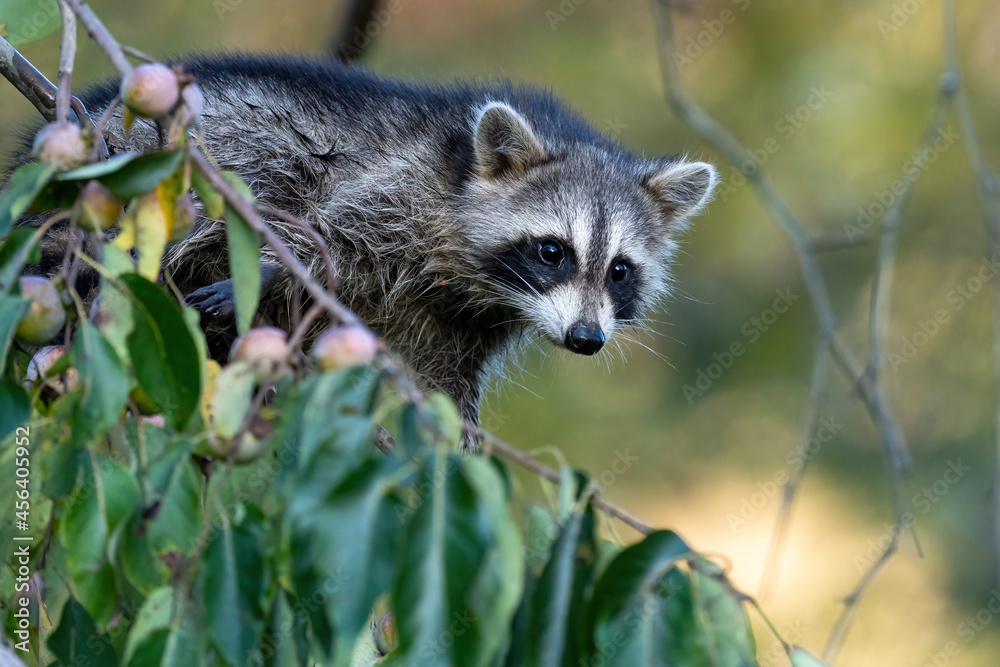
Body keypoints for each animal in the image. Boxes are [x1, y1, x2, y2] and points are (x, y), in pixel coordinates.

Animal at [15, 53, 720, 448]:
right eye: (553, 252)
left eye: (620, 270)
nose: (586, 339)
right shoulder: (403, 188)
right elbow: (330, 228)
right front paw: (279, 268)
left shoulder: (465, 324)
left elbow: (442, 381)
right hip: (171, 146)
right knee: (267, 159)